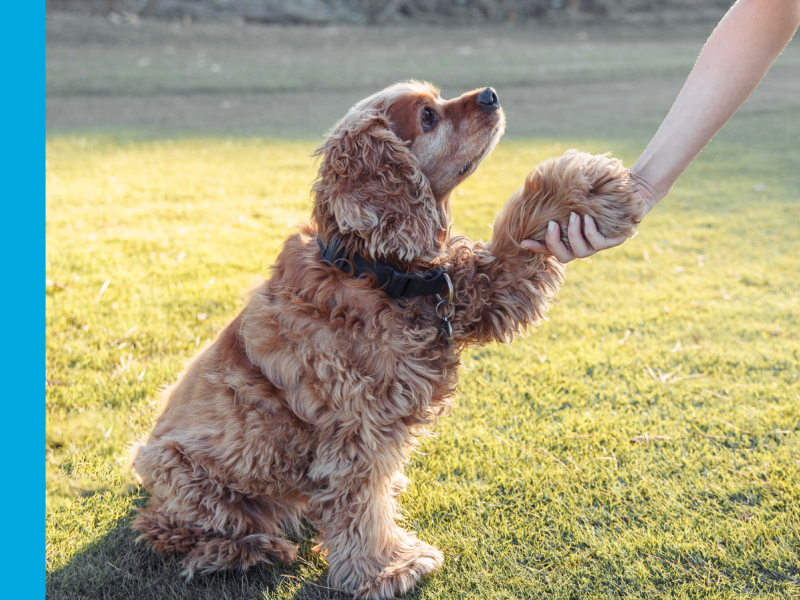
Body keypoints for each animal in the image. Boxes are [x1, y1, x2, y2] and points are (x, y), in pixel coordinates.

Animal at [131, 81, 644, 600]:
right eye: (428, 117)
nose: (491, 94)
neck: (375, 272)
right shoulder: (356, 428)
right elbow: (360, 506)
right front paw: (388, 568)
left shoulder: (473, 293)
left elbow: (515, 244)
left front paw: (587, 190)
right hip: (180, 470)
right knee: (173, 529)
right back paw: (246, 550)